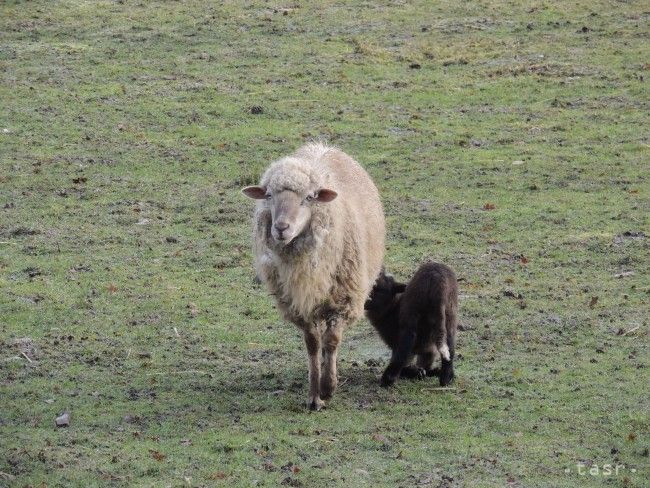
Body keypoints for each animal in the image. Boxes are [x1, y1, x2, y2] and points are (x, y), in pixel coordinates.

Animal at [243, 143, 384, 410]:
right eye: (269, 196)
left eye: (309, 197)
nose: (281, 228)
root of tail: (321, 146)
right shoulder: (300, 305)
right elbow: (313, 344)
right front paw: (314, 395)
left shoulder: (343, 299)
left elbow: (332, 341)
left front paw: (328, 387)